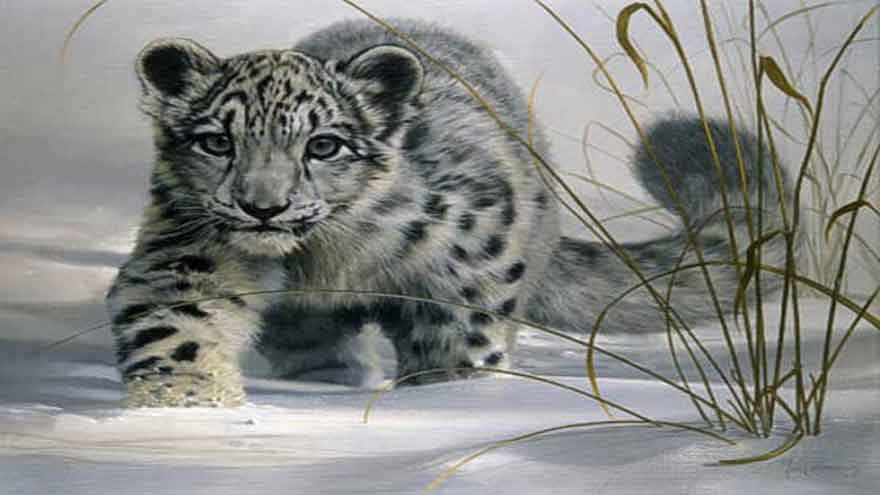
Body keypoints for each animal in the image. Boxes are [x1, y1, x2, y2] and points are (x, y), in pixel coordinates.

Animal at [107, 18, 790, 407]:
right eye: (216, 142)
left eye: (323, 144)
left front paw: (448, 396)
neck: (327, 259)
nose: (263, 208)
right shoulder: (189, 250)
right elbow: (177, 324)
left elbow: (460, 339)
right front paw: (184, 407)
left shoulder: (467, 265)